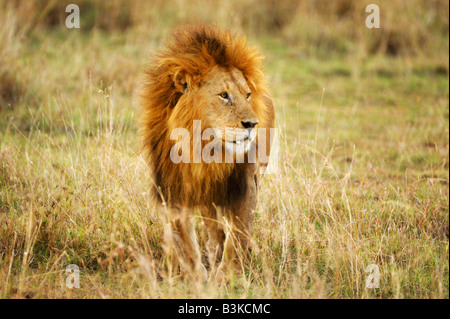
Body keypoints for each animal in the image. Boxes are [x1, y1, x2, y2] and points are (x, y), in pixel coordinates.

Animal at [139, 24, 276, 280]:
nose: (252, 124)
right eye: (224, 95)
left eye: (247, 95)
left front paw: (227, 278)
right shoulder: (174, 191)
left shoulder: (245, 185)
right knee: (212, 227)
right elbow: (185, 242)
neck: (204, 150)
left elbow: (238, 237)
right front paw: (198, 279)